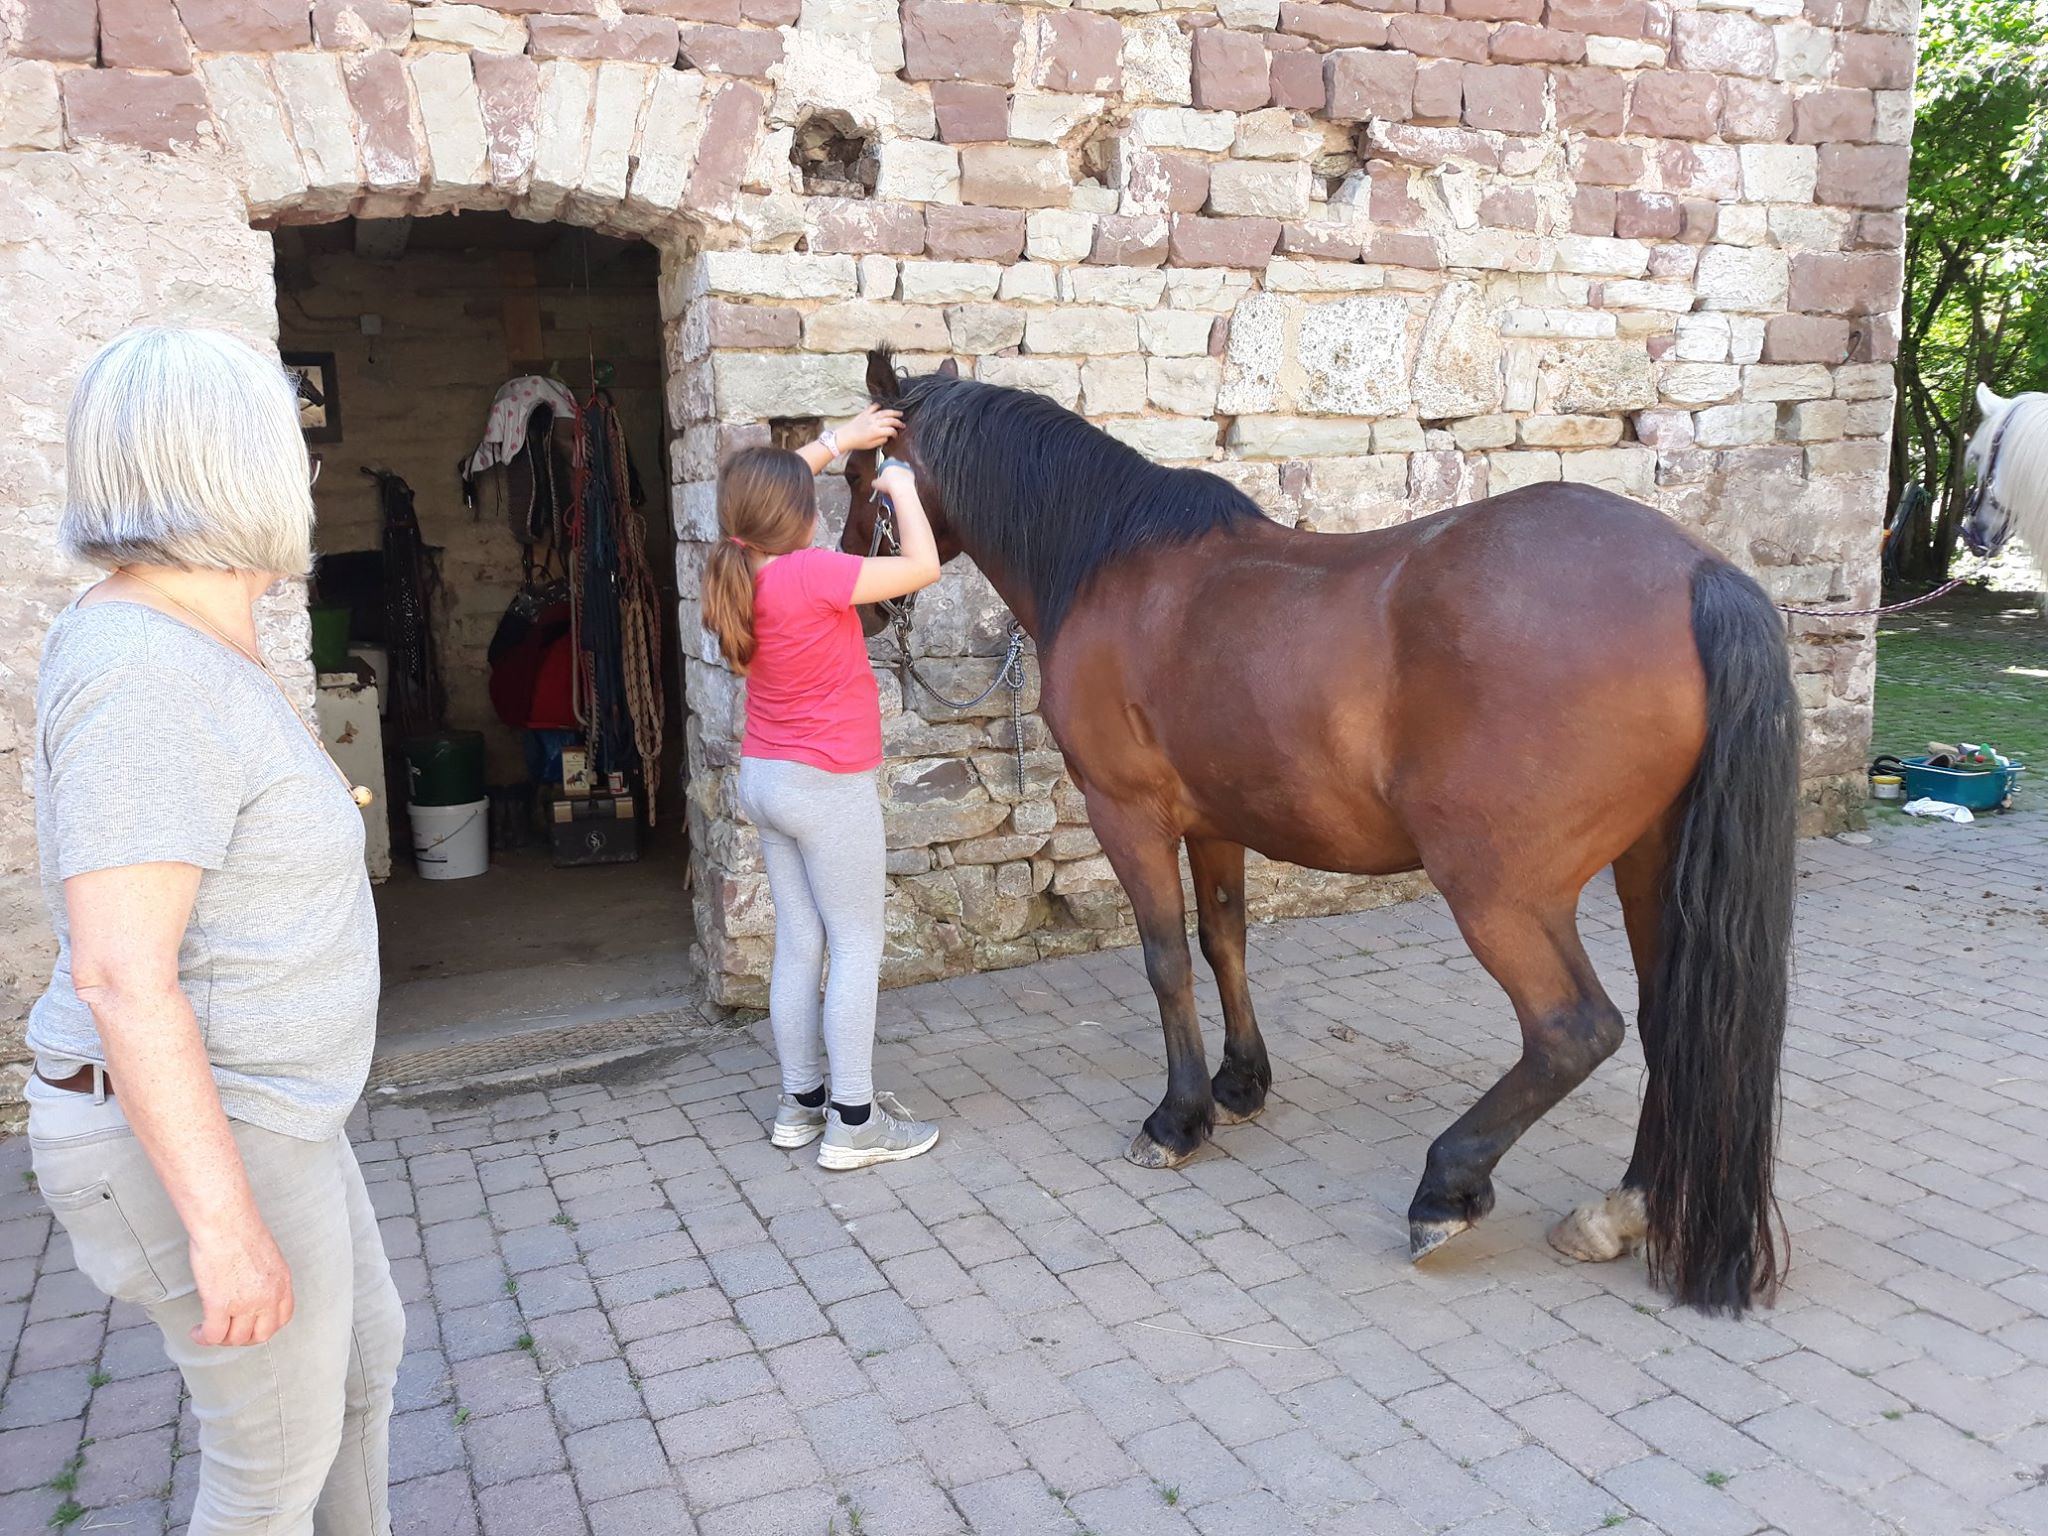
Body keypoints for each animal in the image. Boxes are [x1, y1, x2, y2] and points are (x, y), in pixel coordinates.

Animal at [831, 348, 1794, 1310]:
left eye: (859, 476)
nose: (863, 603)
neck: (1111, 562)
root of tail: (1695, 575)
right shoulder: (1215, 820)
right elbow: (1223, 940)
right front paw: (1239, 1084)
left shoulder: (1128, 814)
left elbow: (1166, 960)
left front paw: (1178, 1120)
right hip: (1649, 867)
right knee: (1671, 1025)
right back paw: (1621, 1209)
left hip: (1500, 891)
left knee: (1573, 1031)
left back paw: (1448, 1187)